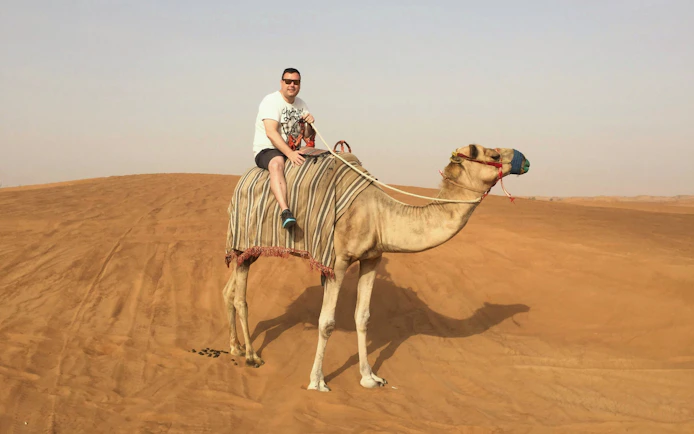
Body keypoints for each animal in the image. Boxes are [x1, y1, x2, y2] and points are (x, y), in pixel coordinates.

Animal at [222, 144, 530, 391]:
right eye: (493, 154)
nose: (524, 159)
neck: (379, 215)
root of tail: (242, 180)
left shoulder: (372, 258)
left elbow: (363, 317)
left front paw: (370, 378)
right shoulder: (337, 262)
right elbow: (326, 322)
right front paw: (318, 381)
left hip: (247, 249)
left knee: (229, 290)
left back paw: (235, 347)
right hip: (244, 239)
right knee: (240, 297)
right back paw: (252, 356)